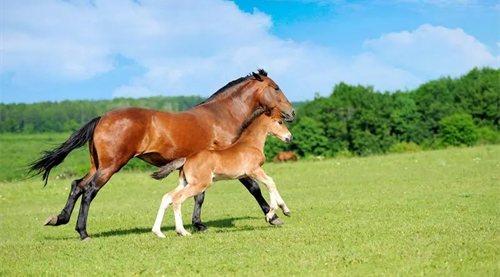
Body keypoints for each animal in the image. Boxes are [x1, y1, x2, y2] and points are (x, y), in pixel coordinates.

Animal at [150, 109, 292, 236]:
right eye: (280, 122)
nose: (289, 137)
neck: (250, 144)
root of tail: (186, 159)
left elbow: (270, 183)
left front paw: (286, 210)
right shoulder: (254, 170)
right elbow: (270, 183)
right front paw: (270, 215)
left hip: (185, 183)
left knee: (167, 197)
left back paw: (158, 232)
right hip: (200, 184)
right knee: (177, 198)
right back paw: (182, 231)